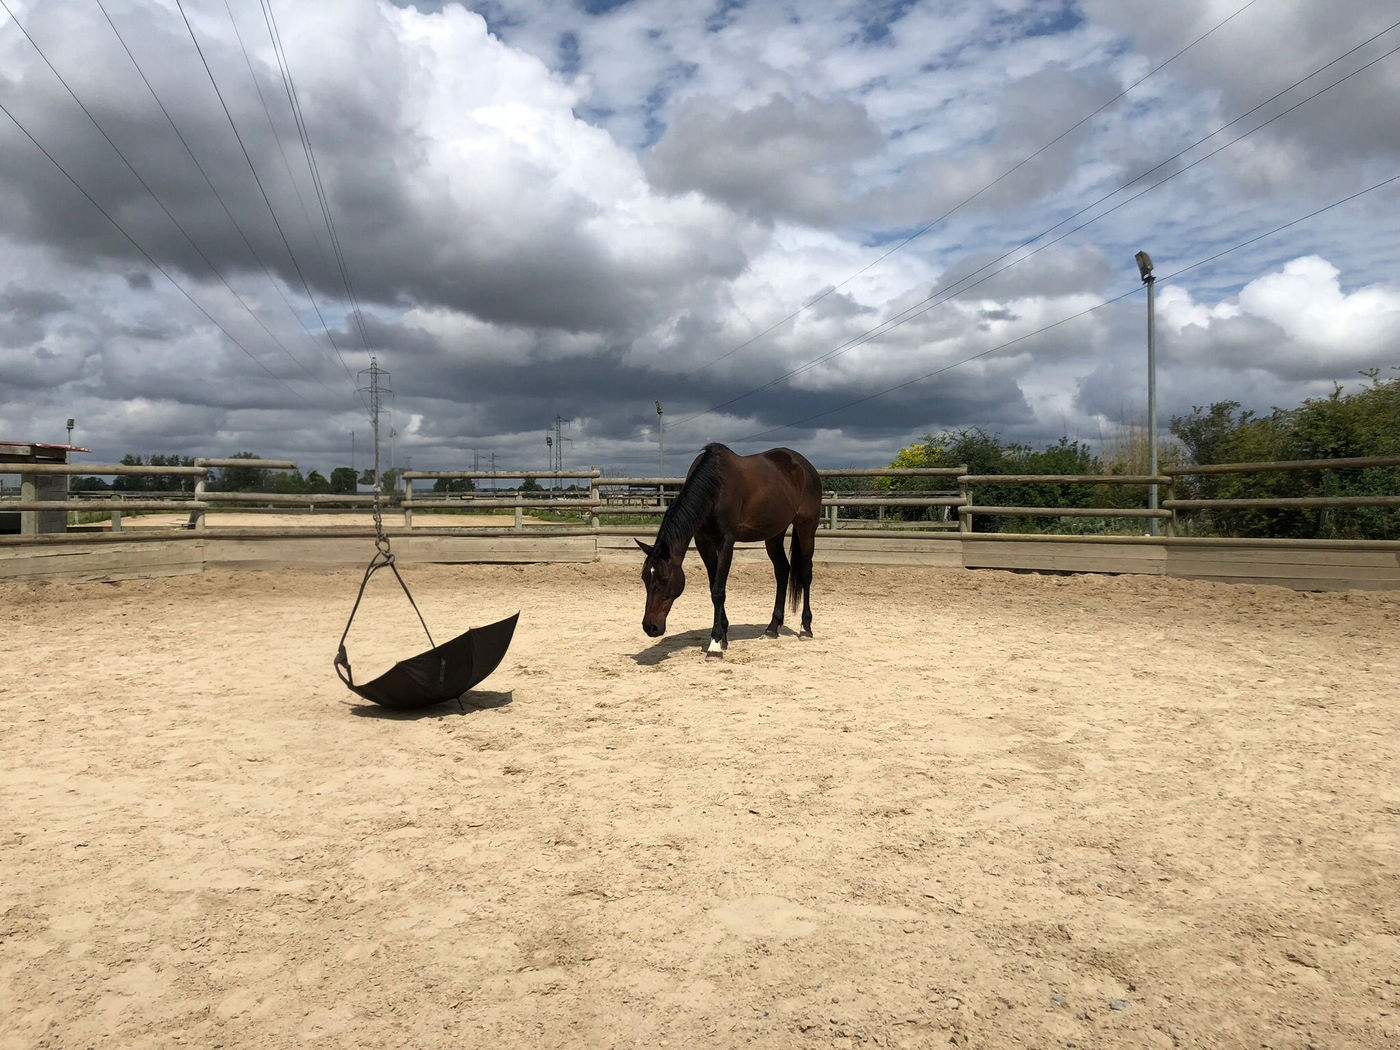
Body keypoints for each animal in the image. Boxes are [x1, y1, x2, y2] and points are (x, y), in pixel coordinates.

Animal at [636, 442, 822, 657]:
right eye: (644, 578)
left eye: (665, 579)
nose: (650, 627)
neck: (714, 487)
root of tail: (805, 465)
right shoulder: (704, 543)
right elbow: (713, 586)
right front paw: (723, 635)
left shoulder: (726, 542)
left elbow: (718, 591)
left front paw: (715, 643)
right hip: (774, 534)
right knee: (782, 571)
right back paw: (772, 628)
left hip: (806, 527)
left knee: (806, 574)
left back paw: (805, 628)